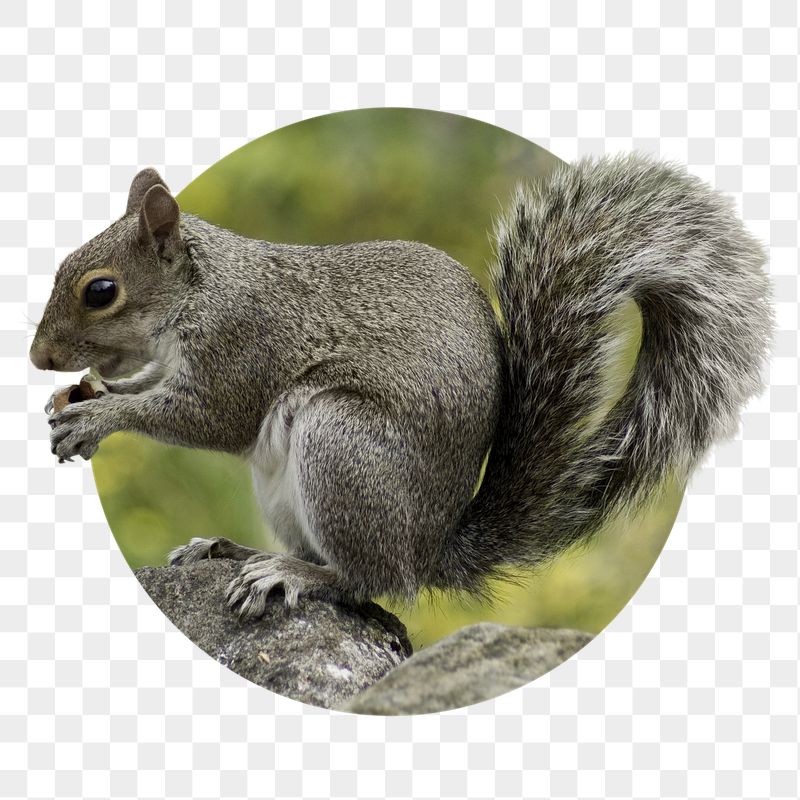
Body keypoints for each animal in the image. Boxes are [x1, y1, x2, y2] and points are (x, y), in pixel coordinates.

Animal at [30, 154, 772, 618]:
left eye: (101, 291)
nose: (38, 358)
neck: (202, 290)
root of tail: (427, 549)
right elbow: (155, 384)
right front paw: (86, 395)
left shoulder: (244, 345)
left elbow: (208, 416)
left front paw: (97, 418)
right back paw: (235, 550)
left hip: (342, 445)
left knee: (368, 582)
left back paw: (295, 574)